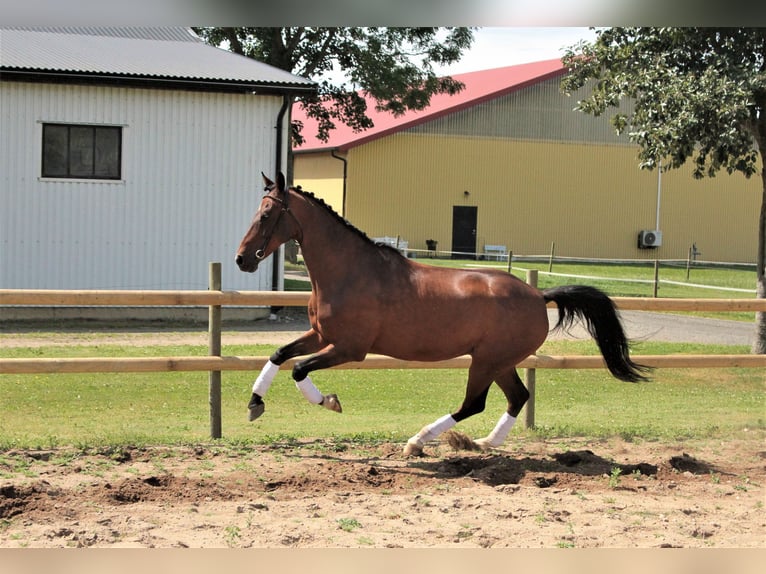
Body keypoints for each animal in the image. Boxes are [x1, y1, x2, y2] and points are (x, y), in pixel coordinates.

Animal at [237, 173, 652, 456]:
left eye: (267, 214)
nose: (242, 259)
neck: (350, 272)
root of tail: (539, 295)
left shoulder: (350, 349)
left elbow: (298, 369)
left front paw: (329, 402)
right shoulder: (321, 336)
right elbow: (279, 355)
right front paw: (255, 404)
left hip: (486, 361)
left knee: (475, 404)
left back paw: (418, 441)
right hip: (500, 361)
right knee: (517, 397)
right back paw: (485, 442)